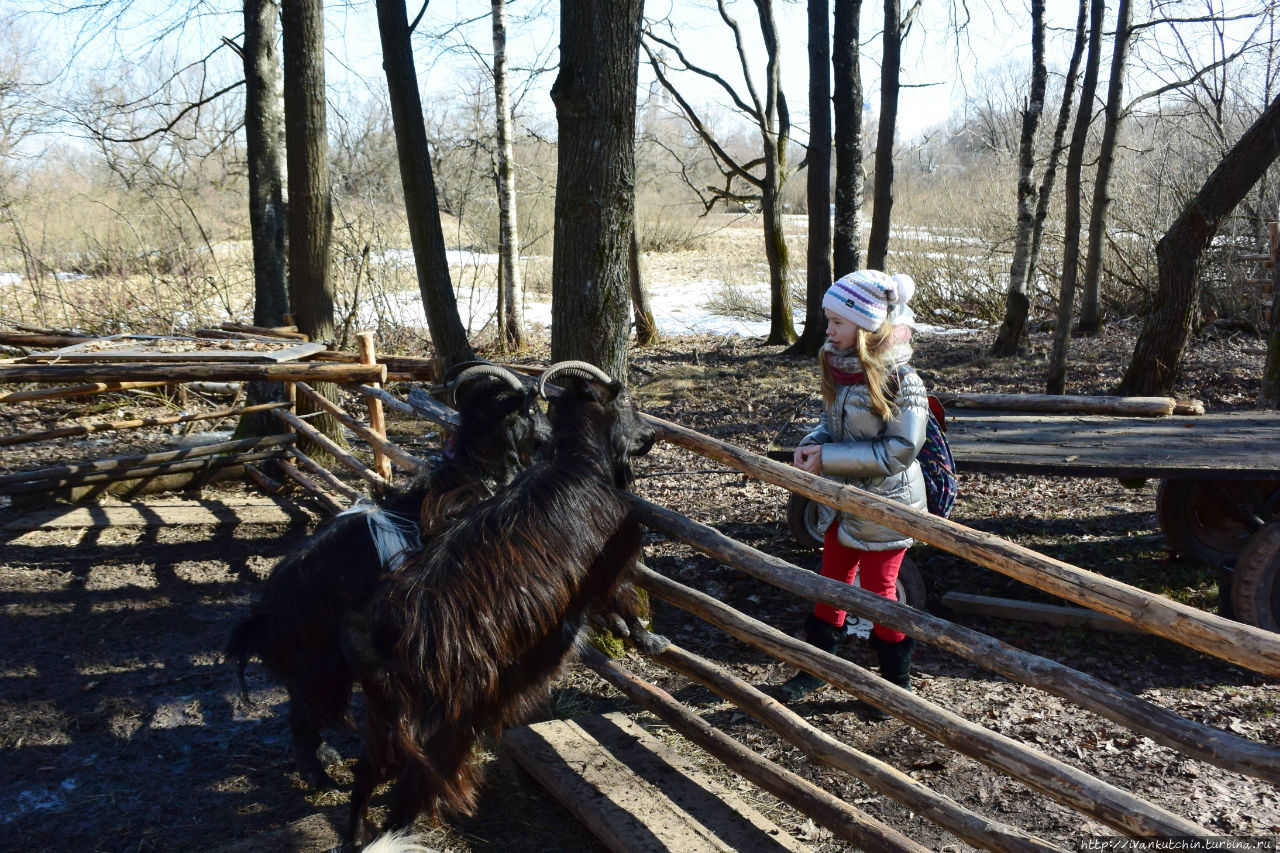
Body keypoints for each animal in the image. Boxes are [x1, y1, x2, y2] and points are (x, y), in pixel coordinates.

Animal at [225, 361, 545, 788]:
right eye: (533, 409)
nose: (549, 436)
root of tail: (266, 616)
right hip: (319, 663)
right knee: (305, 716)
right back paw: (320, 776)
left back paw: (327, 757)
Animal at [340, 358, 655, 845]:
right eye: (624, 401)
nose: (651, 436)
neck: (578, 461)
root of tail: (383, 638)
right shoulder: (614, 558)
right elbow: (625, 599)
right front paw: (646, 637)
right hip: (446, 721)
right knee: (414, 785)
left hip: (383, 718)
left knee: (367, 771)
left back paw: (358, 834)